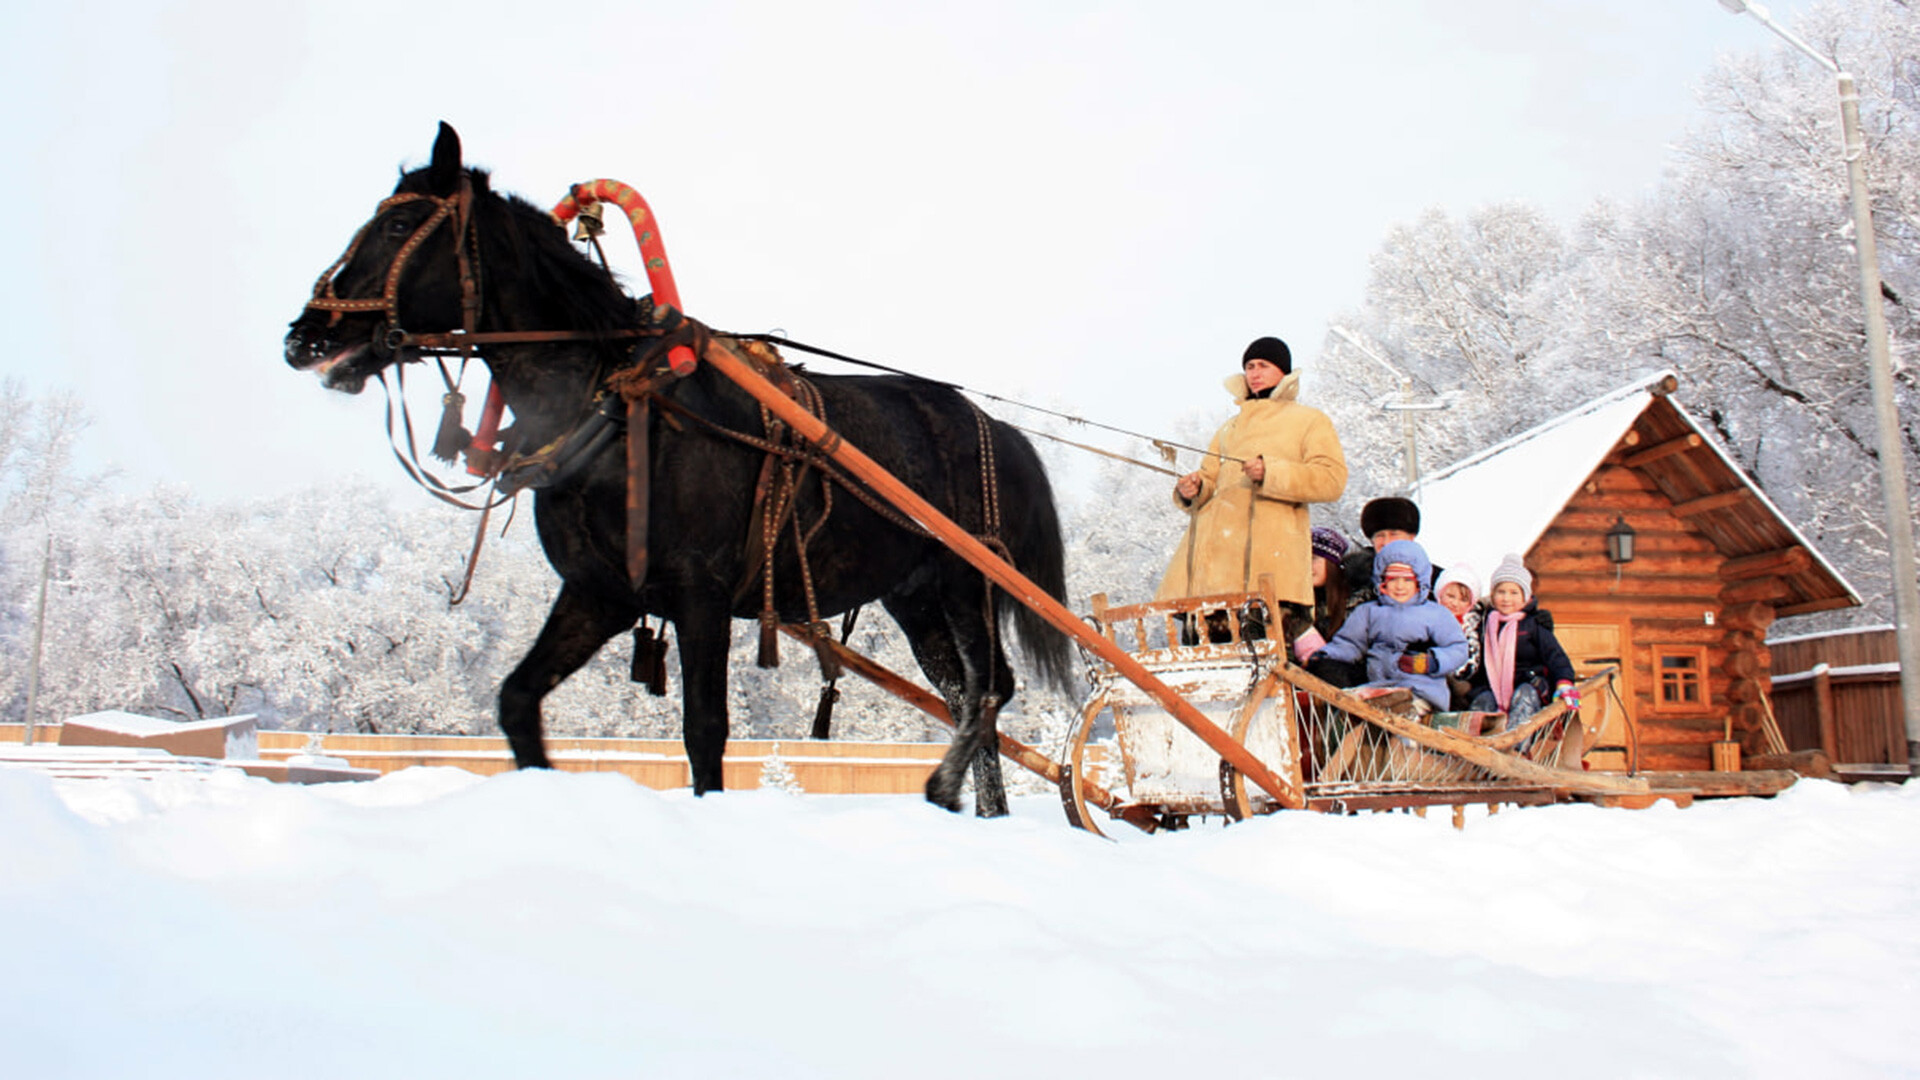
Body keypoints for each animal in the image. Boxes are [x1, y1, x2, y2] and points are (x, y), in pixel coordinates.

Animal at [280, 122, 1082, 810]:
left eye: (395, 227)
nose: (306, 335)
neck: (618, 400)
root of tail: (993, 425)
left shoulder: (701, 593)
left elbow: (705, 730)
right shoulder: (599, 591)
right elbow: (516, 698)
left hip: (968, 579)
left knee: (989, 688)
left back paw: (945, 788)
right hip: (913, 594)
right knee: (966, 693)